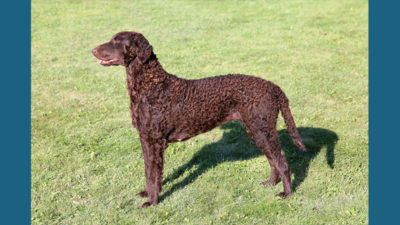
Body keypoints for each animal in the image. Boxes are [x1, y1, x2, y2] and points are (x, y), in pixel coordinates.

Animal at [93, 31, 306, 207]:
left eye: (117, 42)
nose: (93, 49)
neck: (151, 85)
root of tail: (273, 87)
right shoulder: (146, 139)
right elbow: (148, 172)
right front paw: (147, 193)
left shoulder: (155, 141)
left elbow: (154, 175)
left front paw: (152, 202)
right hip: (258, 131)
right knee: (273, 162)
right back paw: (270, 183)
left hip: (262, 130)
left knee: (283, 164)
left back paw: (286, 194)